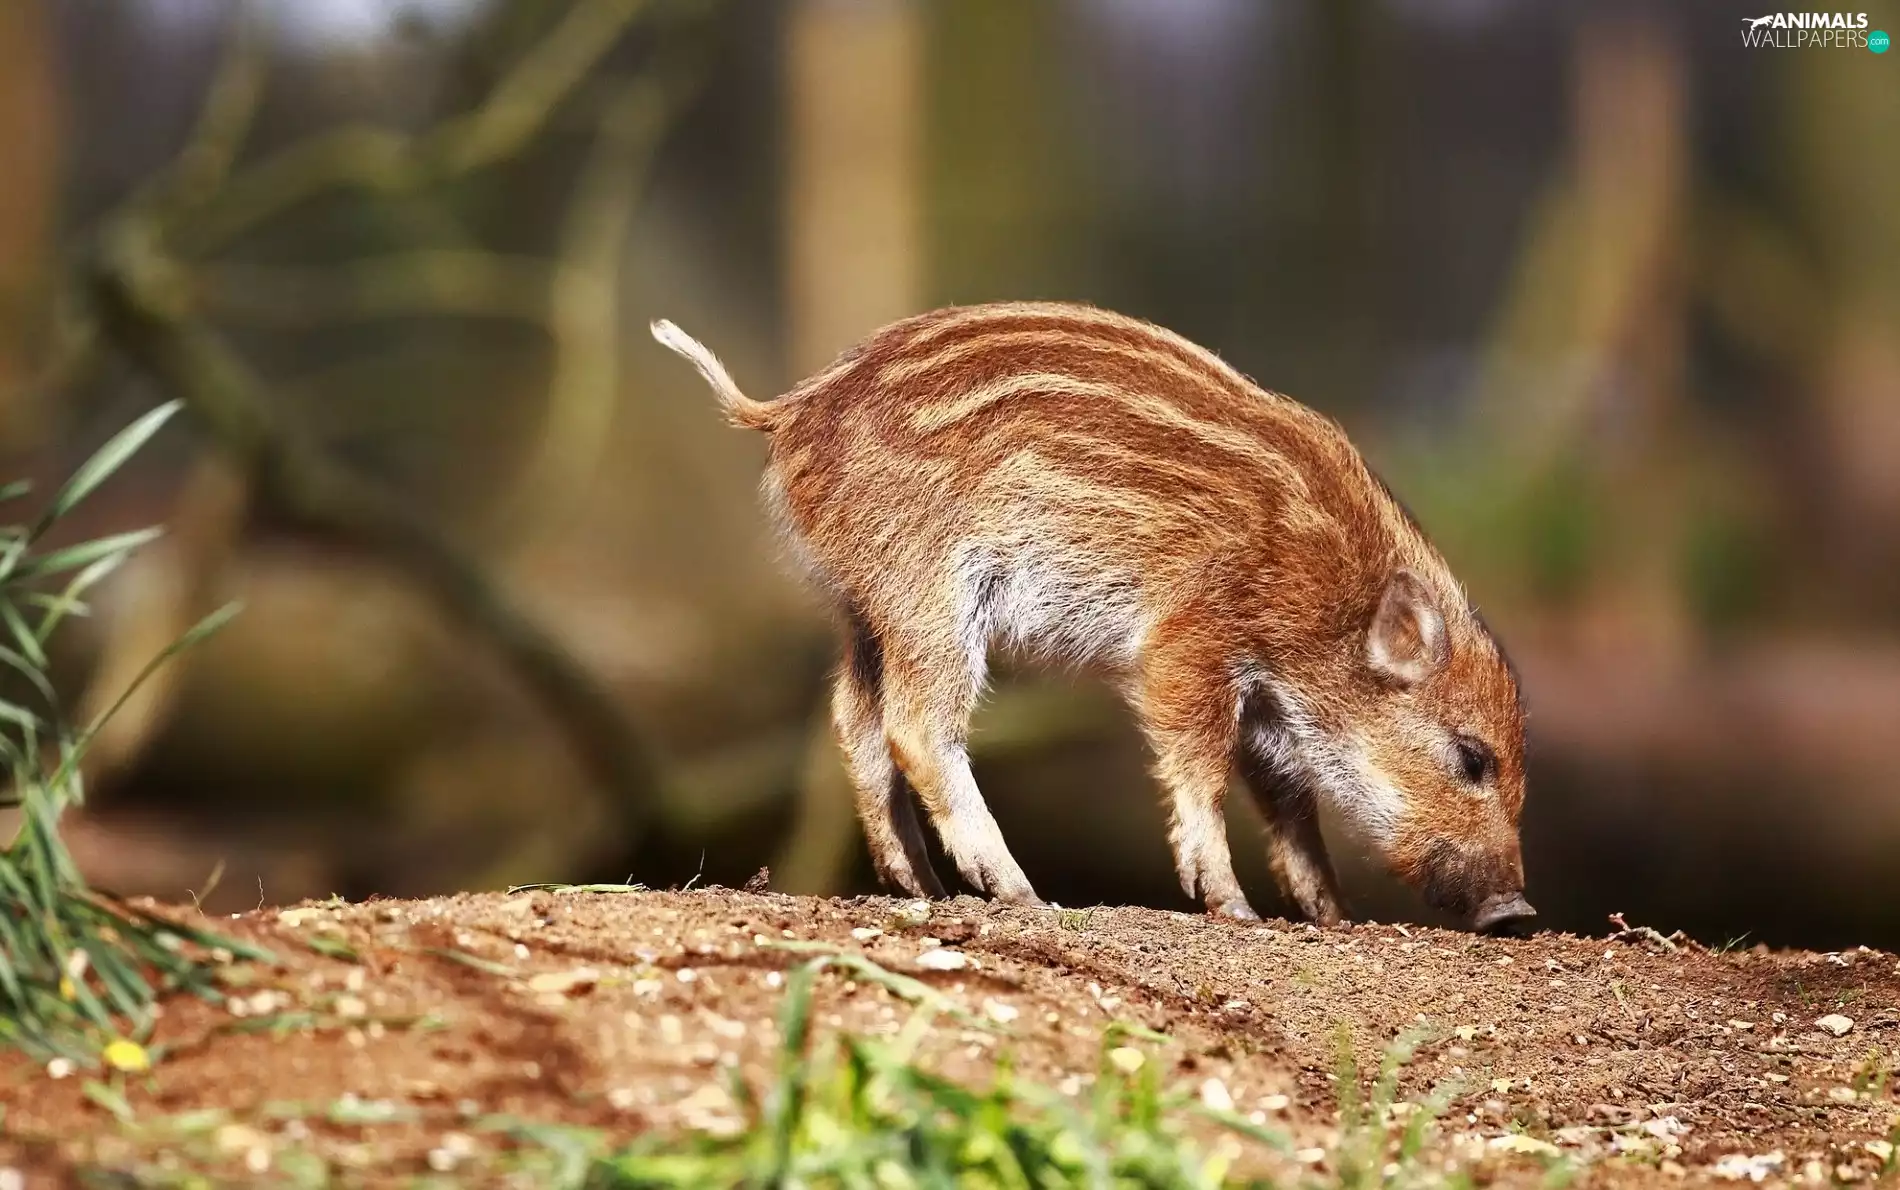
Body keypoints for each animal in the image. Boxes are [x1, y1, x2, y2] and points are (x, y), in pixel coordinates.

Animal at [652, 302, 1535, 934]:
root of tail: (784, 411)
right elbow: (1202, 767)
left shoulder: (1272, 712)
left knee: (854, 719)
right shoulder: (1190, 643)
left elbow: (1290, 808)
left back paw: (923, 887)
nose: (1518, 911)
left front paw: (1332, 917)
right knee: (916, 726)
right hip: (930, 595)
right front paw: (1233, 907)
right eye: (1472, 757)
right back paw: (1019, 892)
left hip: (865, 608)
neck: (1332, 594)